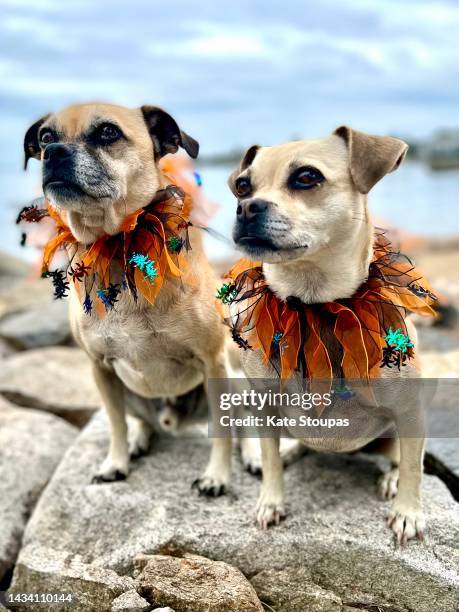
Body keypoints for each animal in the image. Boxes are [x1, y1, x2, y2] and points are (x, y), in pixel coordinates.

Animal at [24, 101, 234, 492]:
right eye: (45, 137)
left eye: (108, 132)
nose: (53, 152)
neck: (119, 244)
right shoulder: (101, 369)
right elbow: (116, 423)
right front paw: (116, 462)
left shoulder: (213, 362)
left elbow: (223, 432)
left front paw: (217, 475)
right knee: (139, 420)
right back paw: (140, 439)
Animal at [230, 128, 432, 540]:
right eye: (242, 186)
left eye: (307, 177)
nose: (246, 208)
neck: (316, 305)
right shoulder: (264, 407)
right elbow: (269, 461)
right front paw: (270, 501)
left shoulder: (410, 411)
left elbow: (413, 469)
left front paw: (408, 512)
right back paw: (293, 450)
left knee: (400, 457)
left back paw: (390, 479)